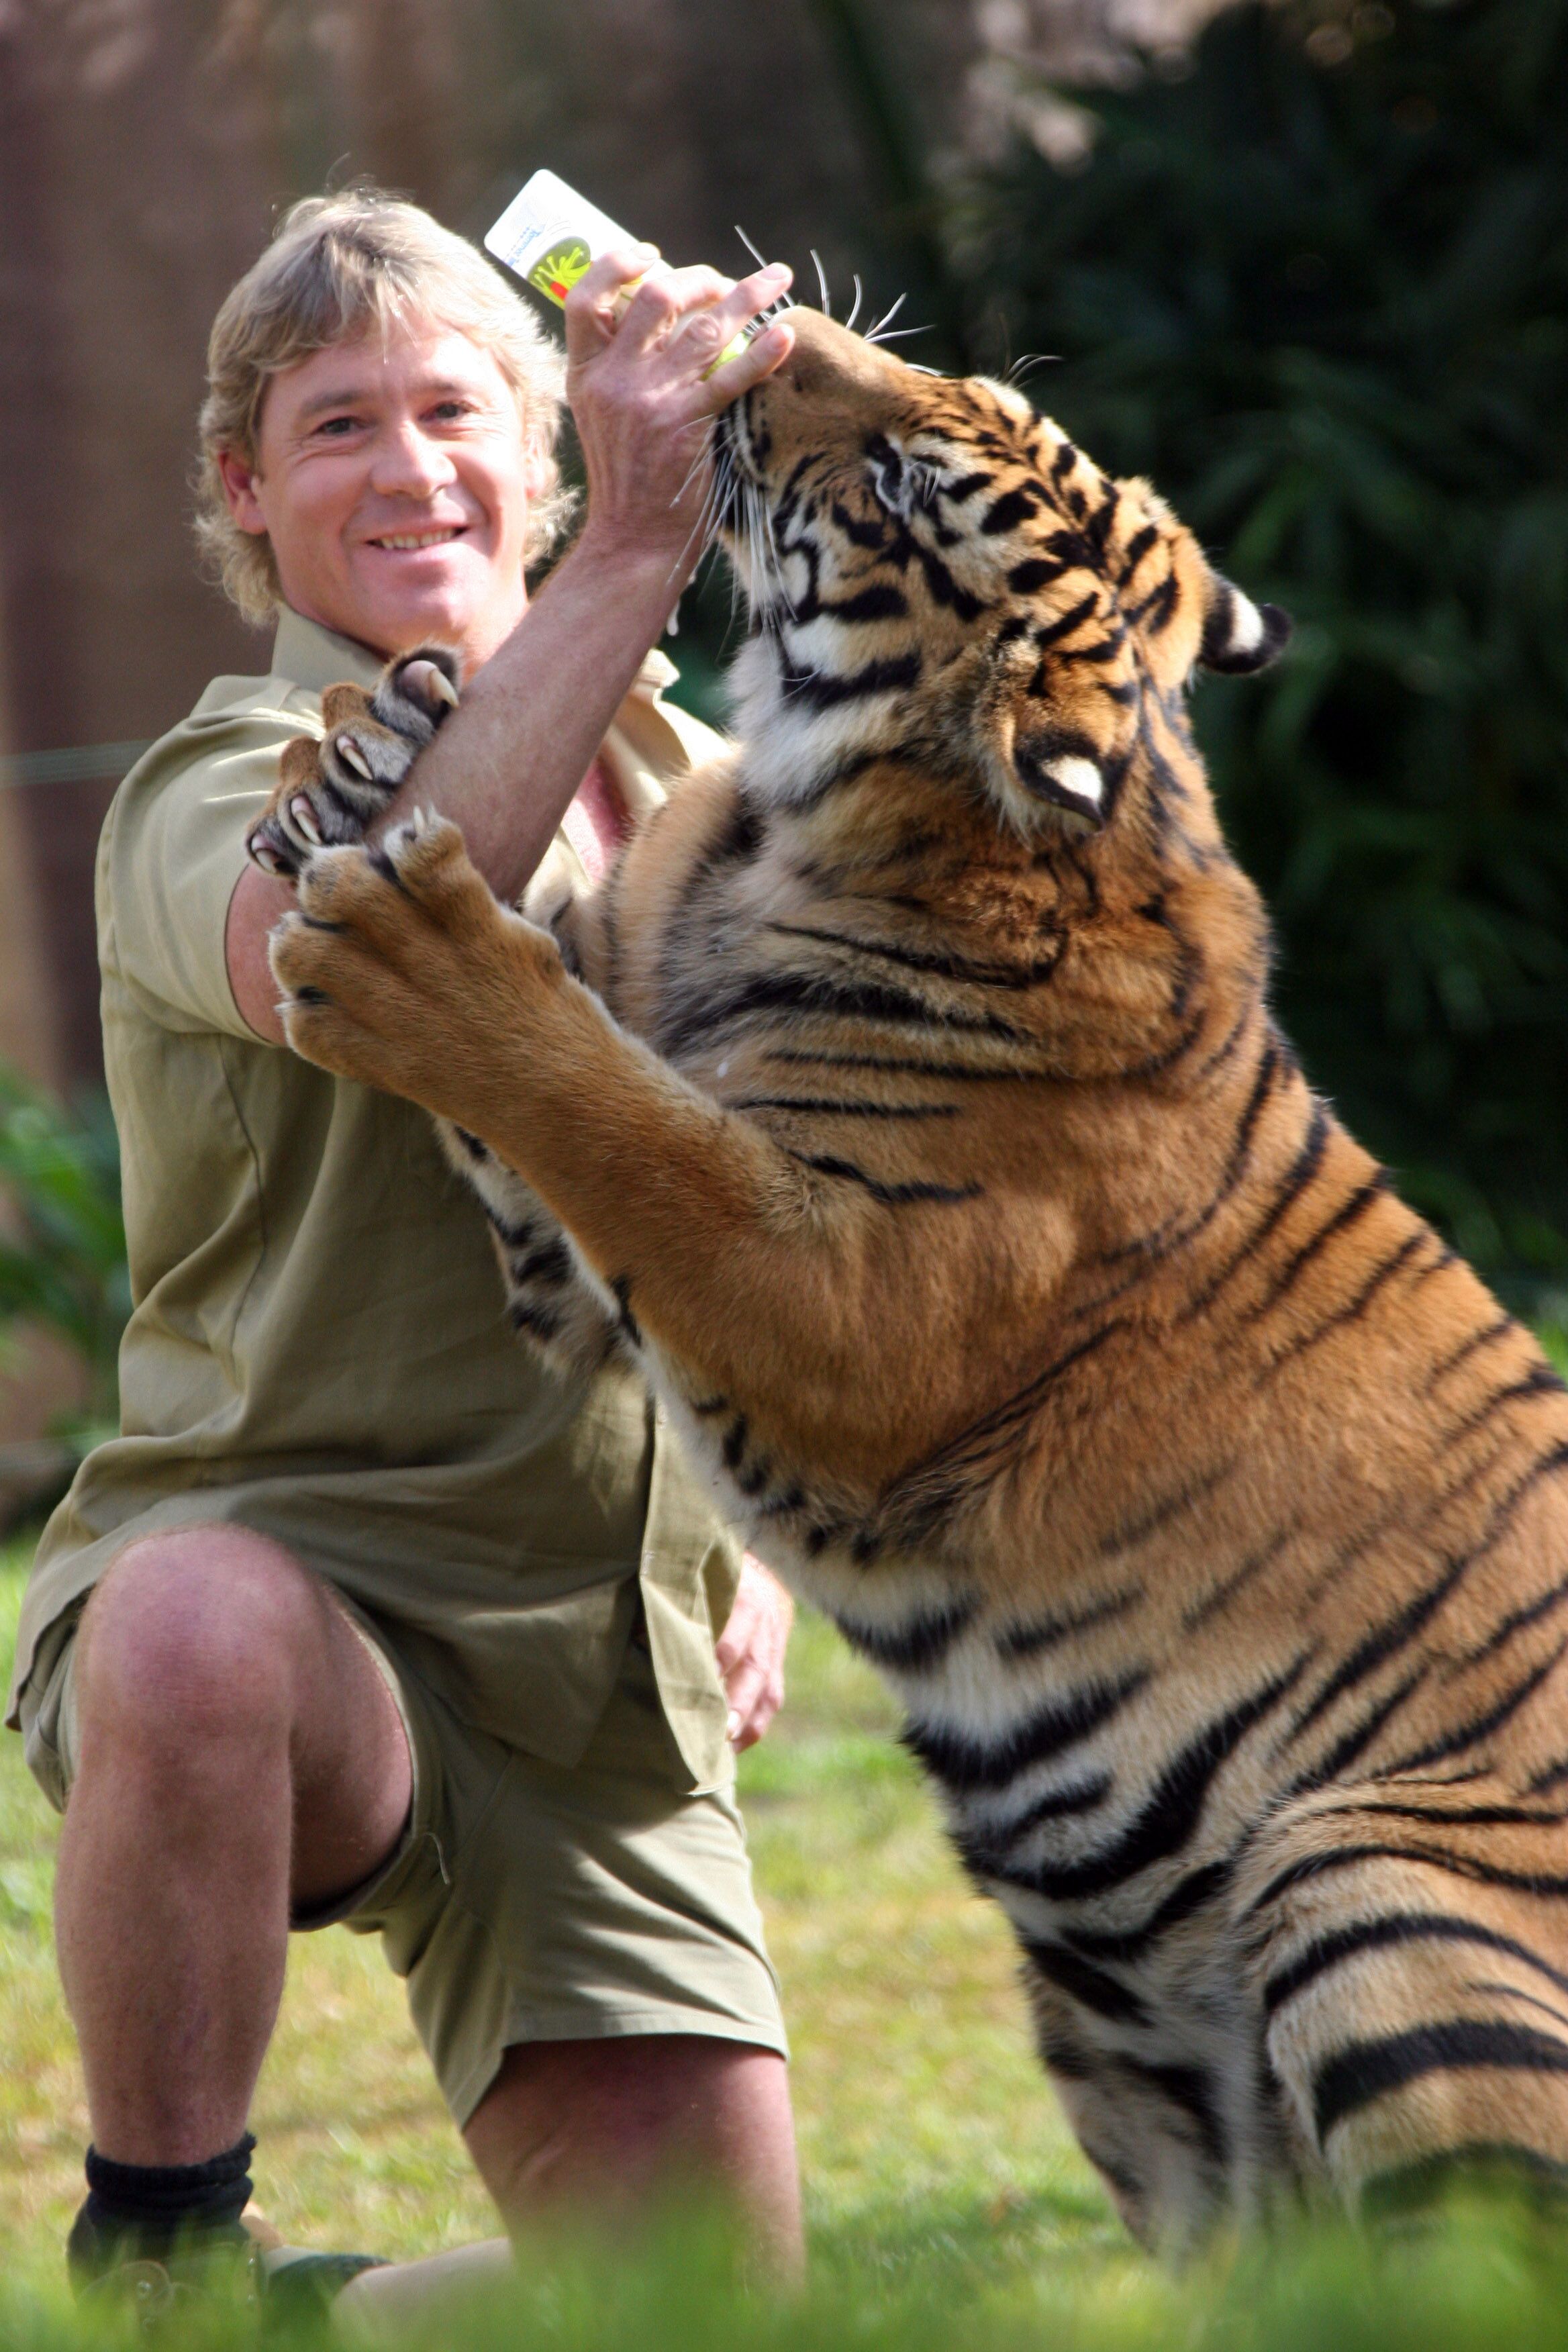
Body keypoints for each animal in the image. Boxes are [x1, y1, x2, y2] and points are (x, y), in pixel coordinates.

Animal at [251, 303, 1568, 2248]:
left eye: (888, 479)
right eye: (974, 402)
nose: (773, 328)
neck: (813, 816)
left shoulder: (837, 1324)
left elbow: (623, 1120)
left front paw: (410, 945)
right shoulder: (565, 1257)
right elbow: (564, 1037)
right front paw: (361, 743)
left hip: (1364, 1878)